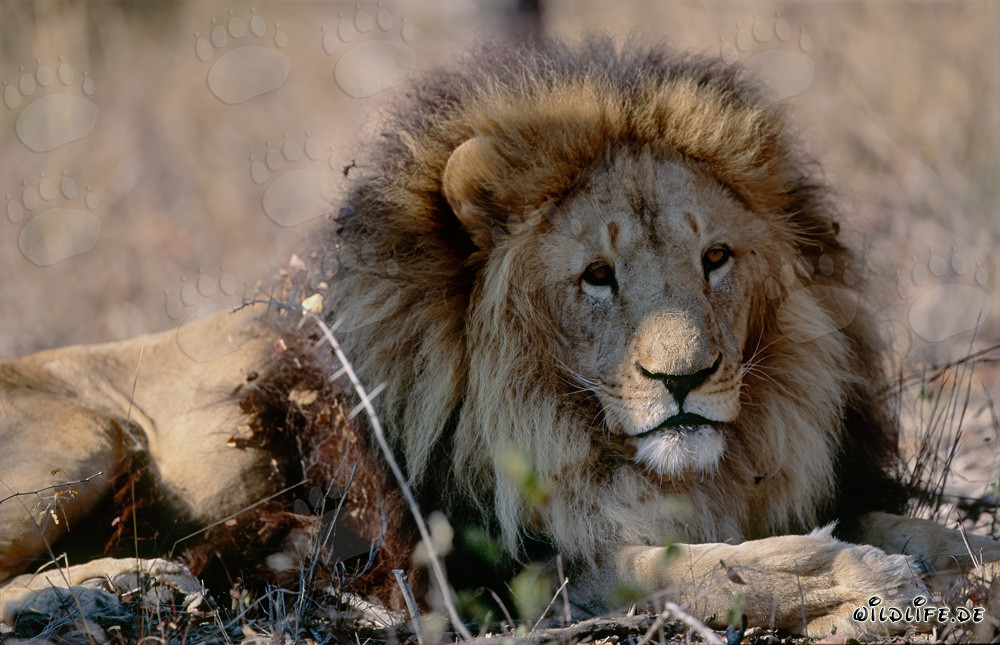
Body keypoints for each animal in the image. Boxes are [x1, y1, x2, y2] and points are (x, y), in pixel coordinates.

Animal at [2, 38, 999, 639]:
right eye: (596, 276)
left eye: (715, 258)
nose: (686, 378)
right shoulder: (472, 572)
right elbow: (679, 571)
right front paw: (860, 578)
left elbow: (932, 531)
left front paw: (947, 559)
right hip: (86, 436)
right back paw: (122, 584)